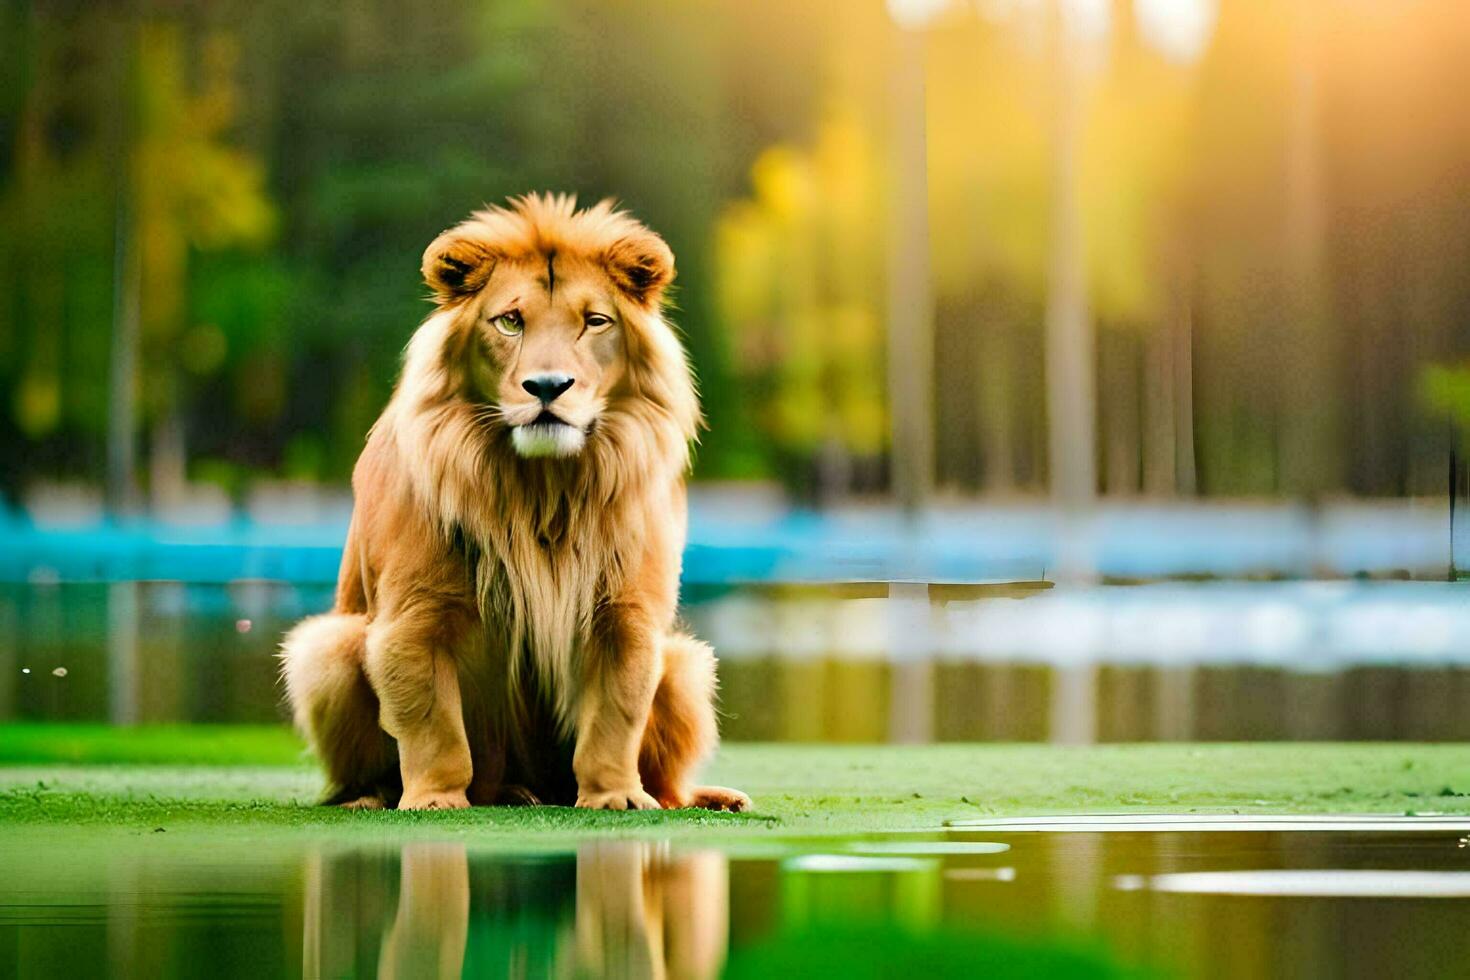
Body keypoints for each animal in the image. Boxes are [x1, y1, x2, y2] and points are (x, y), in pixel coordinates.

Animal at [280, 191, 752, 811]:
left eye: (594, 321)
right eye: (510, 321)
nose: (548, 387)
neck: (543, 489)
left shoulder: (628, 616)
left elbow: (616, 715)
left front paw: (616, 797)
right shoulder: (412, 618)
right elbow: (433, 725)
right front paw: (434, 800)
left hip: (684, 663)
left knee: (667, 777)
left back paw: (704, 799)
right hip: (326, 647)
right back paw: (376, 798)